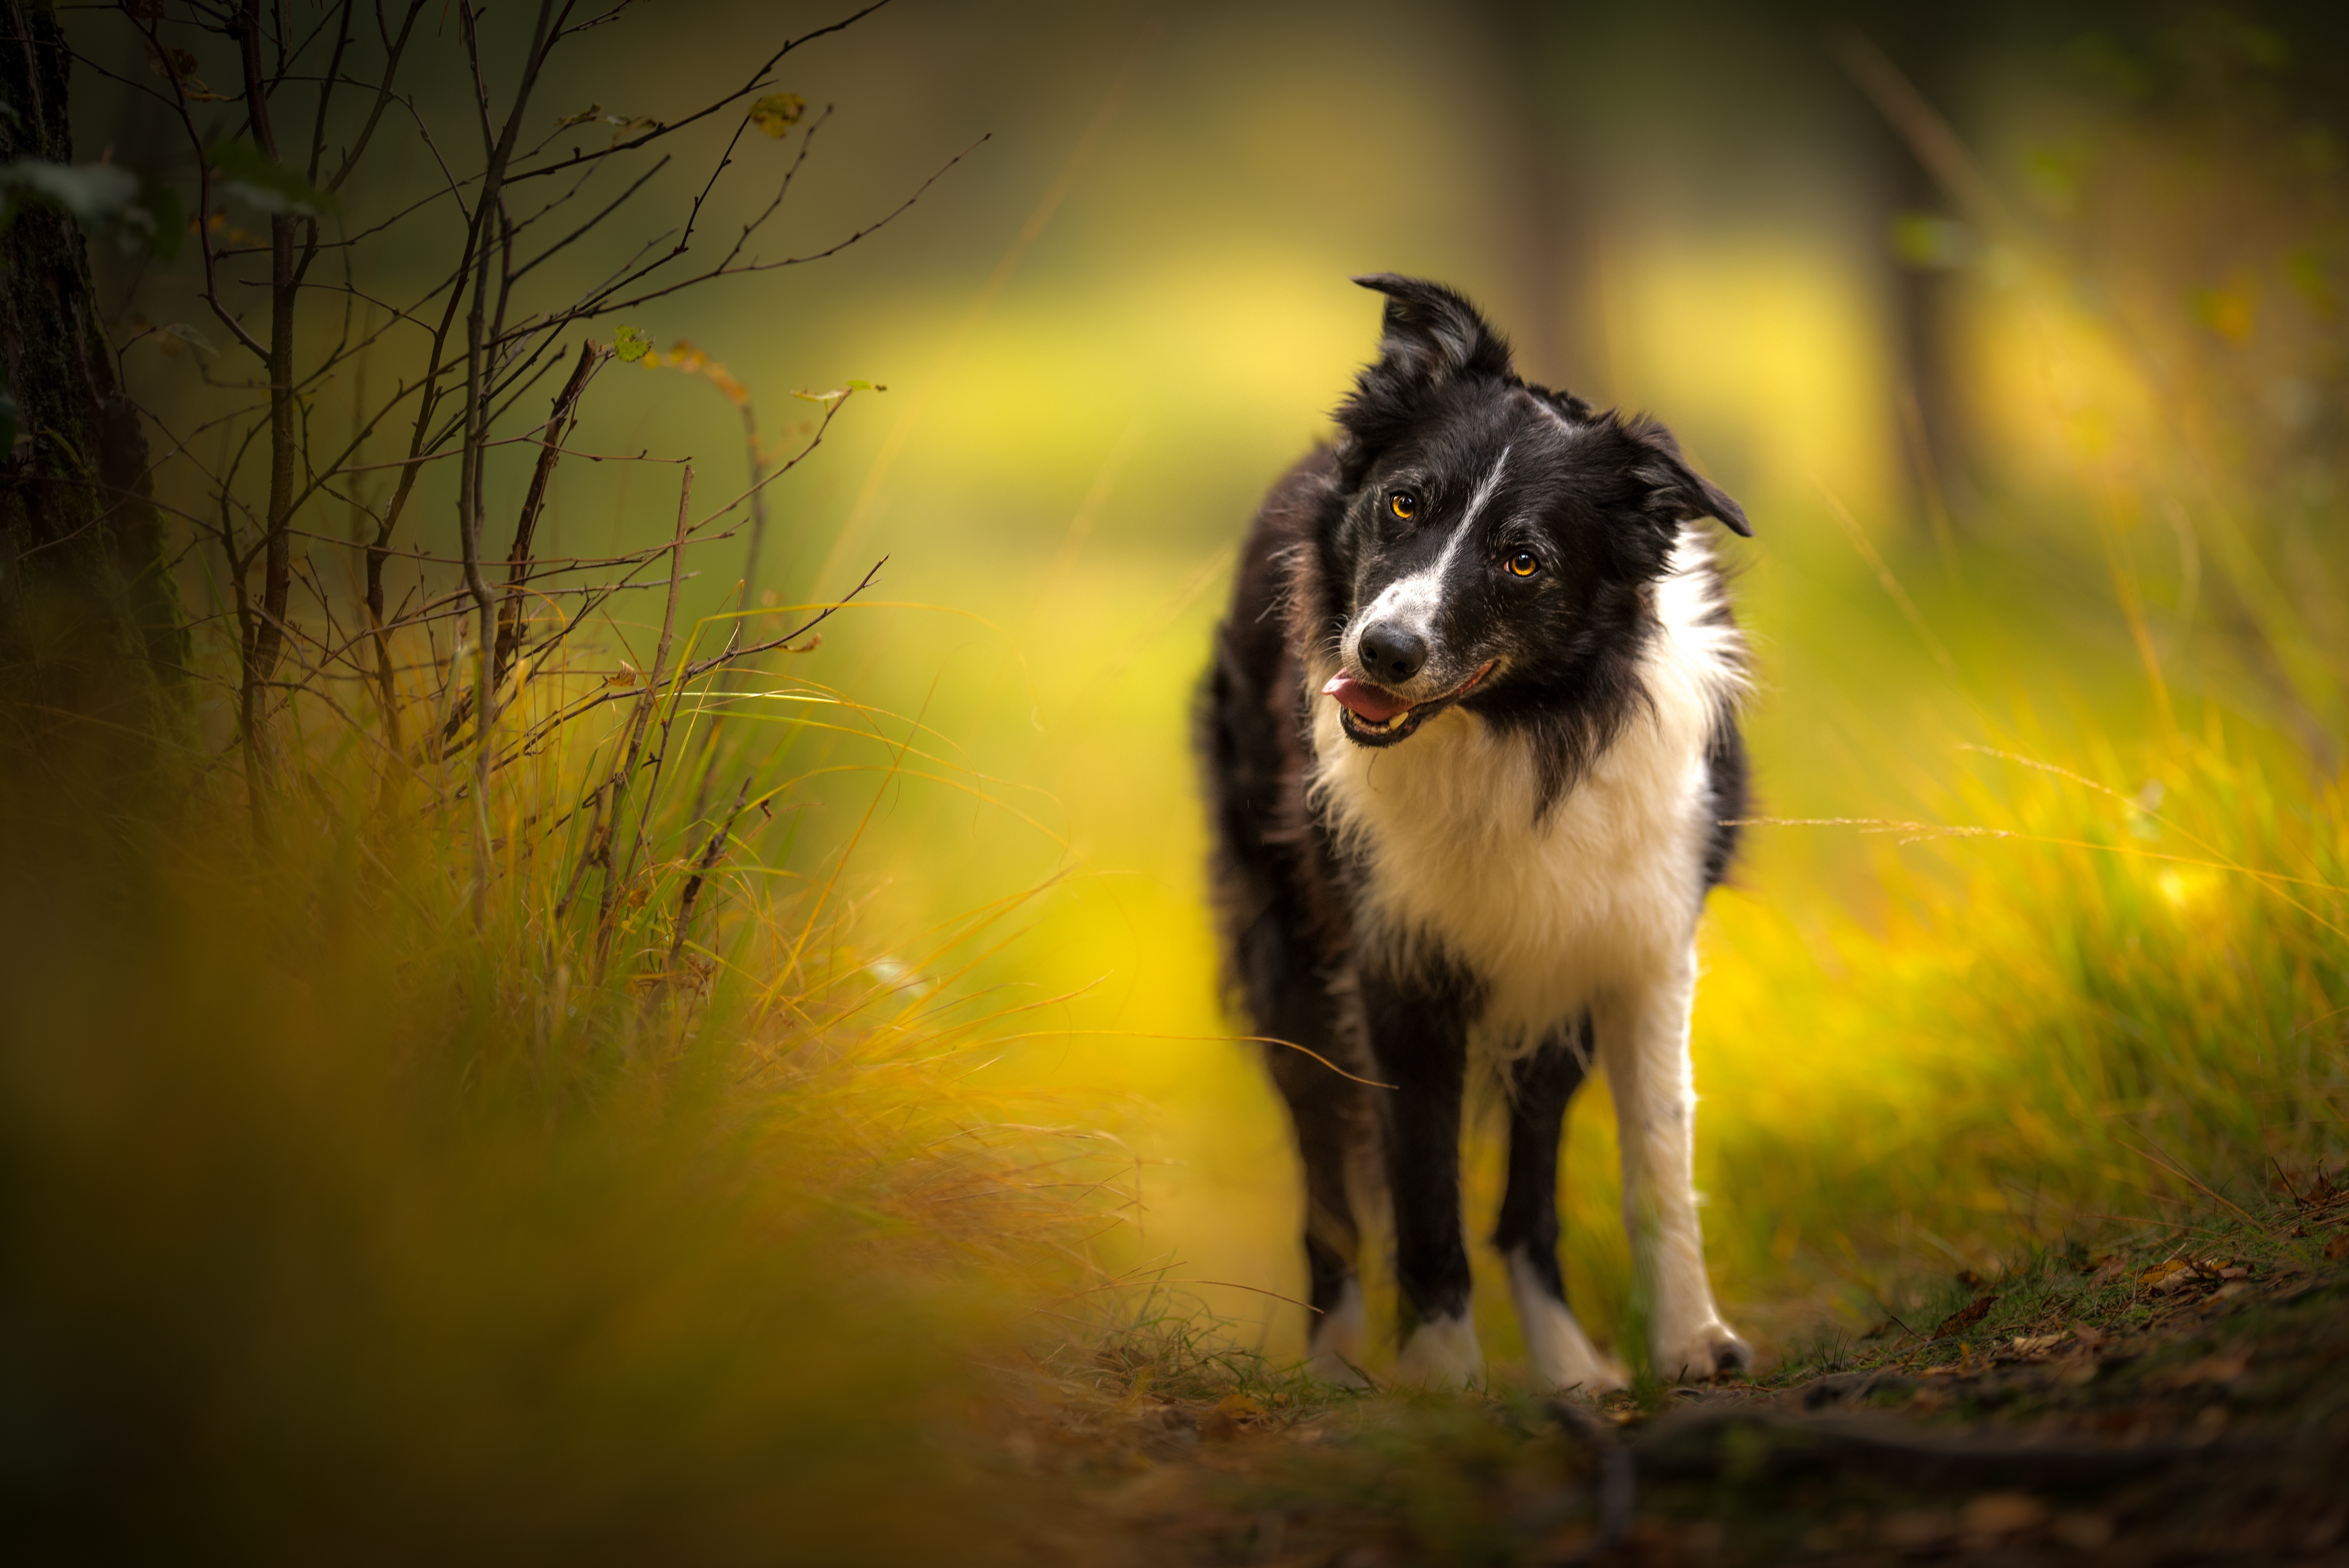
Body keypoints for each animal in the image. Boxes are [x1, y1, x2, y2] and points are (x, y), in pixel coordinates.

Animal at [1203, 276, 1757, 1390]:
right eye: (1404, 501)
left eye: (1523, 561)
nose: (1383, 650)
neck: (1515, 729)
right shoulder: (1396, 967)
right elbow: (1421, 1196)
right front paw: (1446, 1384)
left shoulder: (1637, 948)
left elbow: (1655, 1162)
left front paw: (1688, 1339)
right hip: (1289, 965)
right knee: (1329, 1197)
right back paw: (1336, 1365)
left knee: (1526, 1202)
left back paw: (1570, 1366)